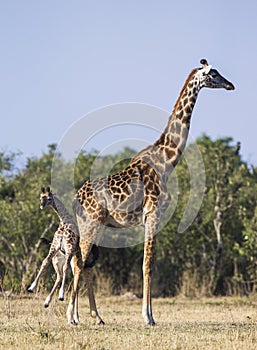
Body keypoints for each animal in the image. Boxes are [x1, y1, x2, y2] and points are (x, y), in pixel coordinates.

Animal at [68, 58, 234, 324]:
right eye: (214, 74)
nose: (231, 85)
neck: (167, 160)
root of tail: (75, 198)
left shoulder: (149, 218)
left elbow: (147, 263)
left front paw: (148, 314)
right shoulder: (154, 214)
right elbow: (148, 264)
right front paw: (148, 317)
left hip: (96, 224)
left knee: (85, 263)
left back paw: (97, 316)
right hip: (91, 223)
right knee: (78, 261)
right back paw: (72, 316)